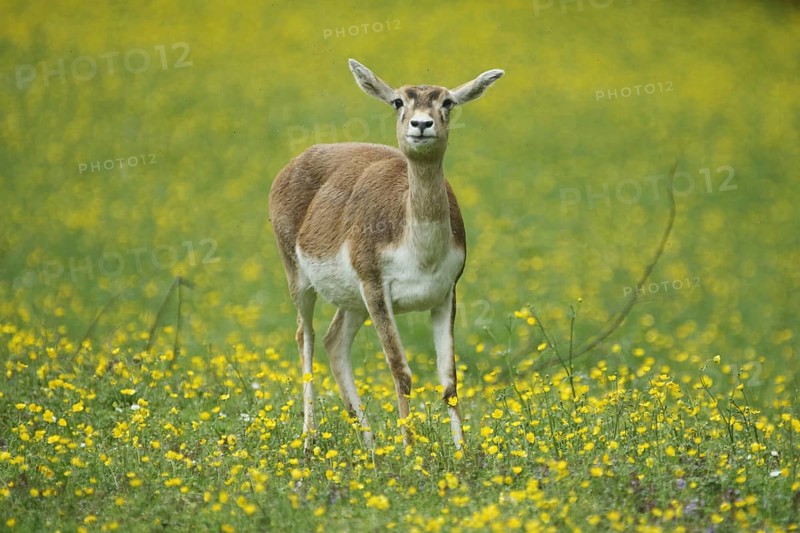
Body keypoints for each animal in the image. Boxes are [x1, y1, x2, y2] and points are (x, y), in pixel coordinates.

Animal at [269, 59, 503, 449]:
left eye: (447, 101)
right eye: (398, 101)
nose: (421, 124)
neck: (419, 249)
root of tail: (299, 159)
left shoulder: (446, 294)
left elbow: (450, 380)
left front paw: (462, 453)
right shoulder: (377, 289)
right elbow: (400, 370)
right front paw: (410, 451)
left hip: (354, 302)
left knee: (334, 341)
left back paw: (372, 447)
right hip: (301, 280)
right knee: (306, 336)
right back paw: (309, 440)